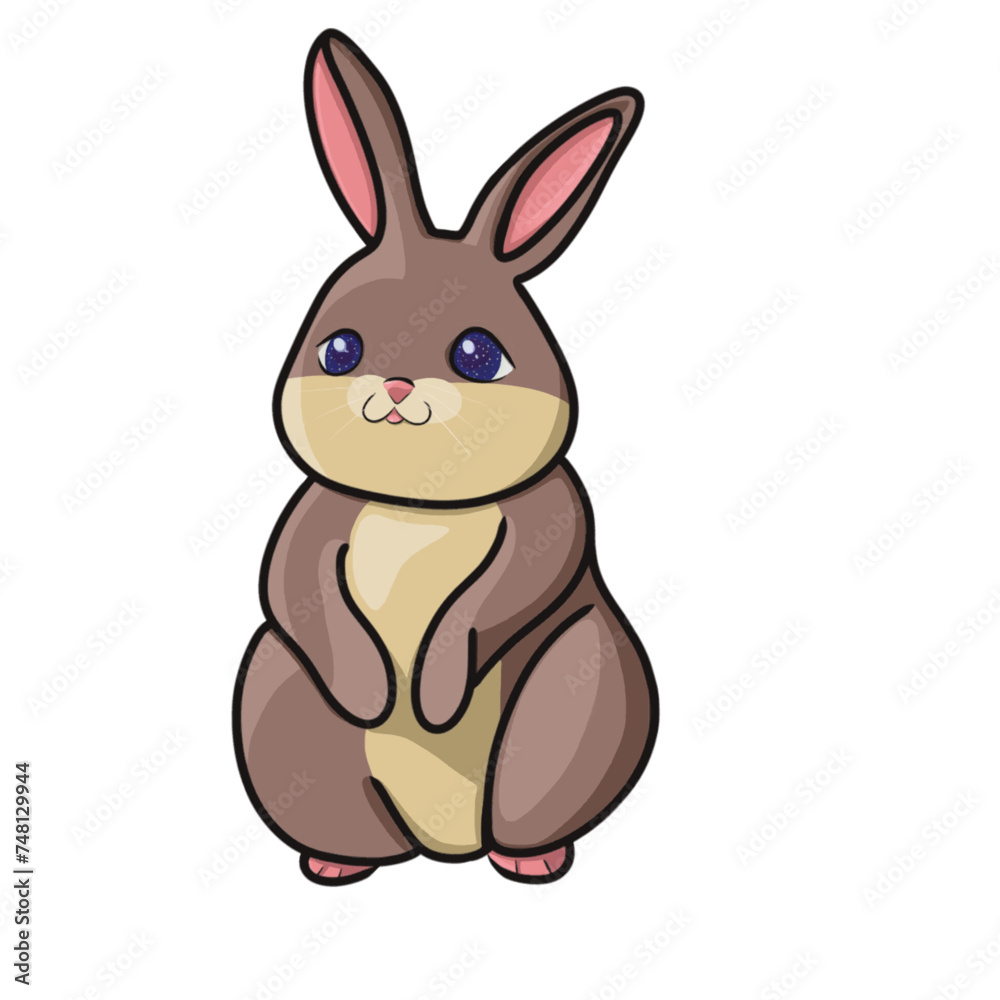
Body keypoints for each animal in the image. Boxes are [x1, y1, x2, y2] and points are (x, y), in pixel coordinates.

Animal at [232, 29, 658, 885]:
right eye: (339, 349)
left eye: (477, 354)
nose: (394, 387)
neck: (420, 505)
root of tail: (444, 849)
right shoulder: (313, 517)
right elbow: (295, 585)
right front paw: (374, 695)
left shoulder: (552, 518)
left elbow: (512, 587)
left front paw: (431, 697)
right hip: (283, 701)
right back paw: (337, 864)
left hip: (576, 696)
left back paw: (533, 860)